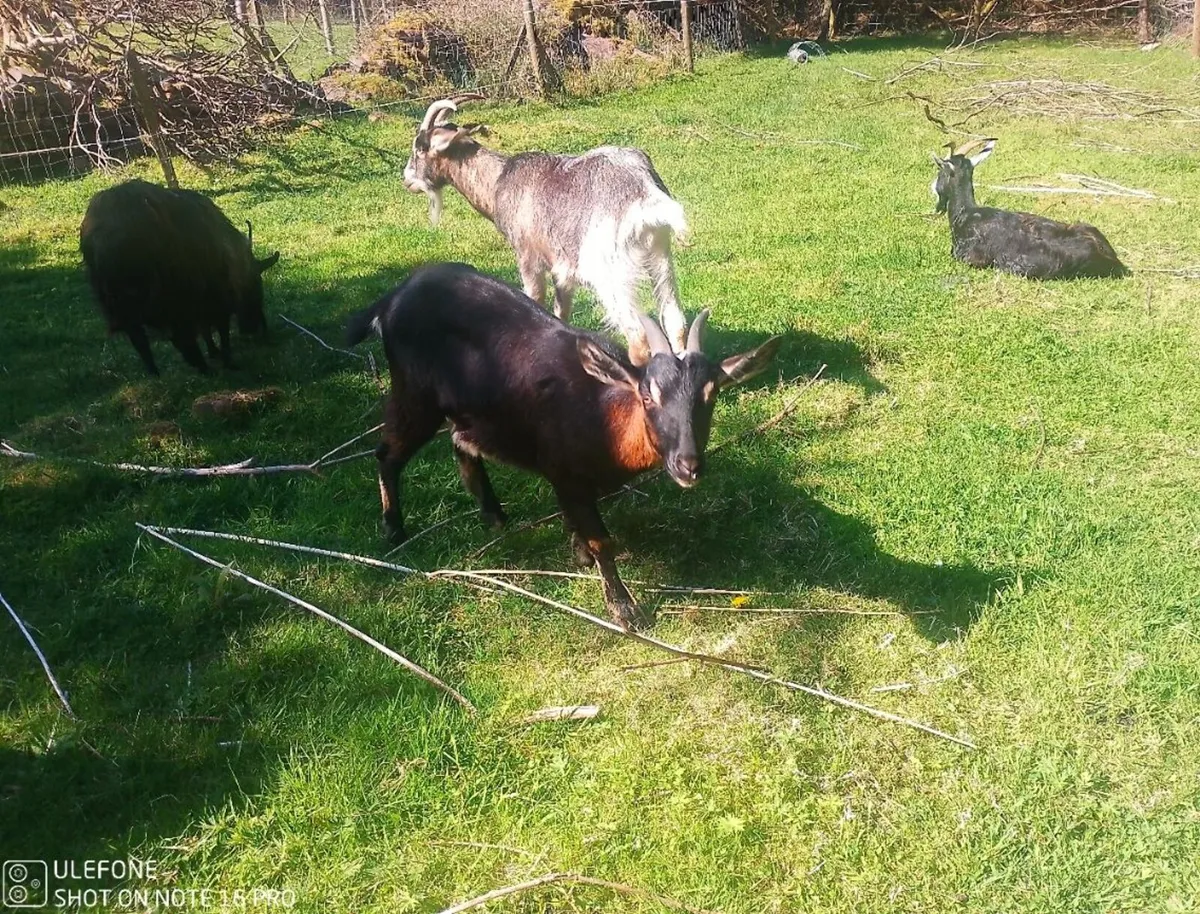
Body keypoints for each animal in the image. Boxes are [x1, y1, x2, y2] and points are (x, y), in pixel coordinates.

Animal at [79, 179, 279, 375]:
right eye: (257, 284)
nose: (256, 329)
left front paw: (214, 353)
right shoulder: (212, 298)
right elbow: (219, 330)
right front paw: (225, 359)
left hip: (121, 305)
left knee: (141, 341)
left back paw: (156, 372)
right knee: (180, 337)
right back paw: (203, 366)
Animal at [346, 262, 780, 631]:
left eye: (712, 394)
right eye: (647, 395)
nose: (688, 465)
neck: (602, 414)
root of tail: (392, 299)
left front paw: (579, 553)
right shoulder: (565, 473)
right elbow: (602, 540)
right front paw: (625, 610)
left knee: (460, 443)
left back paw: (494, 515)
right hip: (415, 393)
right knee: (388, 453)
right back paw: (394, 530)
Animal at [402, 95, 691, 366]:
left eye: (419, 148)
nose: (406, 179)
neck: (499, 182)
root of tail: (644, 191)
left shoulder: (528, 256)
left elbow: (535, 299)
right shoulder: (562, 269)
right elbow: (561, 312)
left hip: (609, 271)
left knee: (639, 340)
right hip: (660, 253)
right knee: (675, 322)